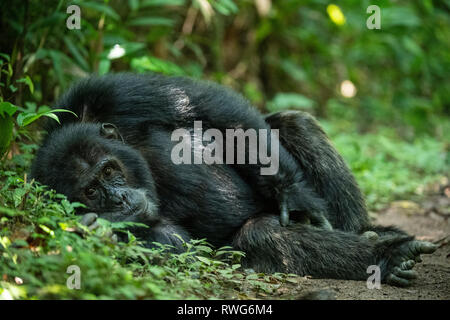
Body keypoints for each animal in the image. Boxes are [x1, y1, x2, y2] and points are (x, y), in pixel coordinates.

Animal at [30, 74, 436, 286]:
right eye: (91, 191)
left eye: (109, 171)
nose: (118, 200)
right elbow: (176, 245)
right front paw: (98, 231)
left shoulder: (110, 93)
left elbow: (208, 107)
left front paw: (293, 194)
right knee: (264, 234)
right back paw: (386, 257)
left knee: (292, 124)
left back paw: (368, 231)